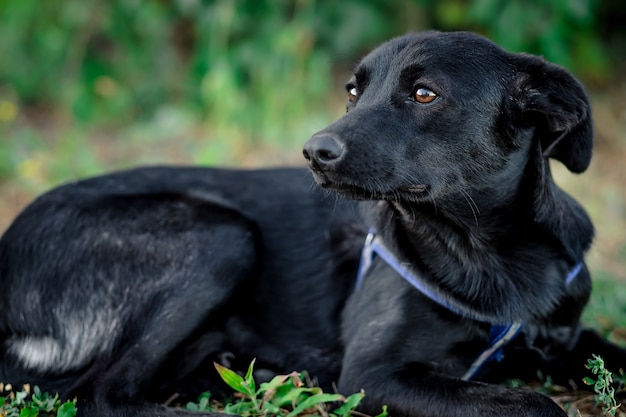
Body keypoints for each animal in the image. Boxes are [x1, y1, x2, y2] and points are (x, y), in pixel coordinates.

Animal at [1, 30, 624, 416]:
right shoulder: (374, 374)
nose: (313, 152)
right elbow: (533, 403)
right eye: (353, 91)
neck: (490, 252)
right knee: (102, 393)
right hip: (223, 236)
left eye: (424, 94)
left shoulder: (566, 336)